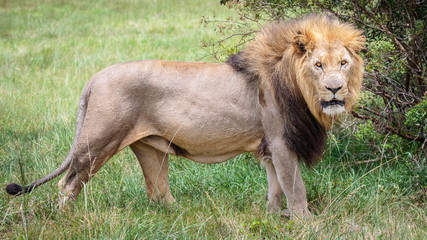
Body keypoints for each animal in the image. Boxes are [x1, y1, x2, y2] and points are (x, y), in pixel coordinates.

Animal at [5, 13, 364, 216]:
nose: (335, 89)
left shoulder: (268, 146)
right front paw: (306, 222)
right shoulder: (280, 140)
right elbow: (295, 187)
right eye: (318, 65)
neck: (298, 87)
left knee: (157, 193)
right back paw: (66, 218)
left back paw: (180, 215)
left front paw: (276, 217)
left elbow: (276, 186)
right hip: (98, 141)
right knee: (68, 184)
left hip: (150, 149)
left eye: (342, 63)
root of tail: (94, 78)